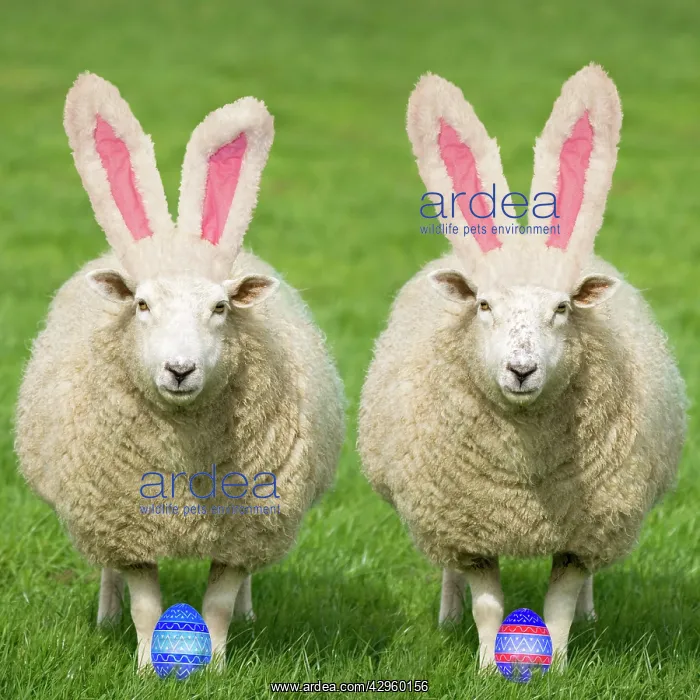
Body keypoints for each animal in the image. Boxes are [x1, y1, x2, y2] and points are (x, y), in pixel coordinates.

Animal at [14, 73, 345, 671]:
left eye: (221, 308)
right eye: (142, 305)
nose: (180, 368)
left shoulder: (243, 527)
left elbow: (216, 604)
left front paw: (215, 664)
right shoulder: (127, 525)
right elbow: (146, 605)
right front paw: (147, 664)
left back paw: (248, 613)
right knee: (107, 570)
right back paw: (107, 613)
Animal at [358, 64, 686, 669]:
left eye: (562, 309)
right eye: (484, 306)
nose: (522, 370)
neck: (523, 477)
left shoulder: (585, 527)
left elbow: (559, 602)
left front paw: (556, 663)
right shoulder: (469, 523)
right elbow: (488, 604)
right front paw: (489, 664)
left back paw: (591, 612)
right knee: (448, 570)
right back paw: (448, 614)